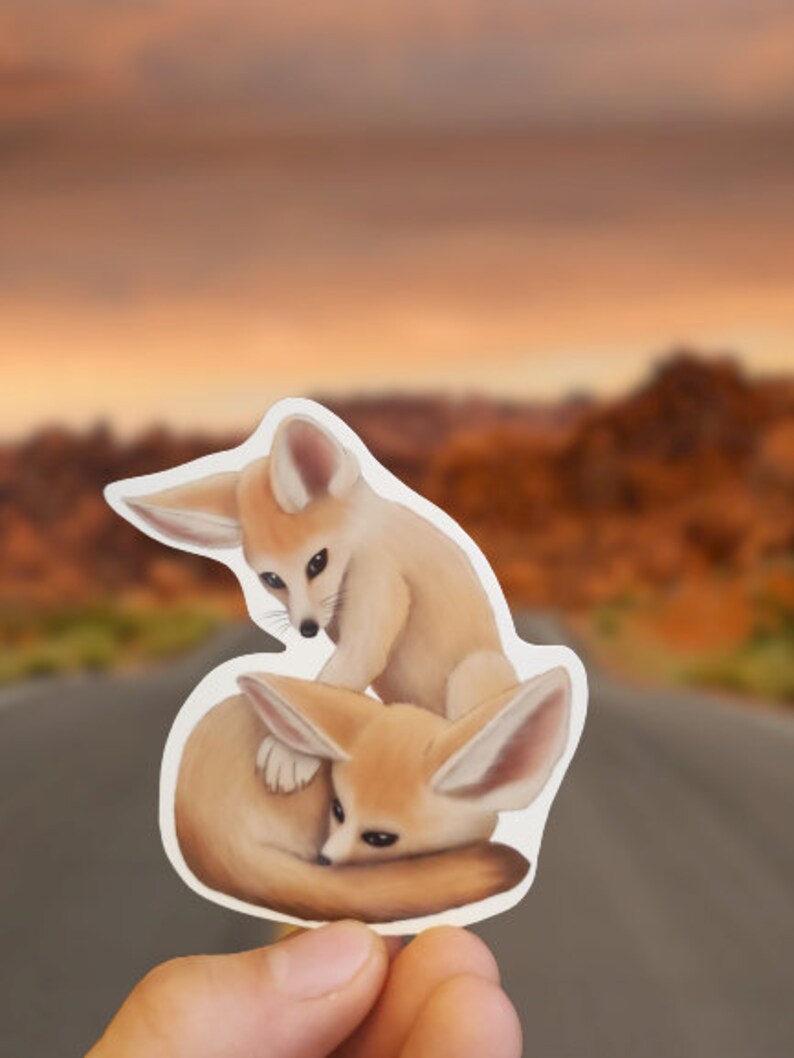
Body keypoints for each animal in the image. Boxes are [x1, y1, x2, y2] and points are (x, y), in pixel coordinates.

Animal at [121, 411, 518, 792]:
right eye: (272, 579)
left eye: (317, 562)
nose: (308, 628)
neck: (362, 536)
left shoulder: (377, 584)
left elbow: (329, 687)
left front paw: (290, 754)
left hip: (473, 671)